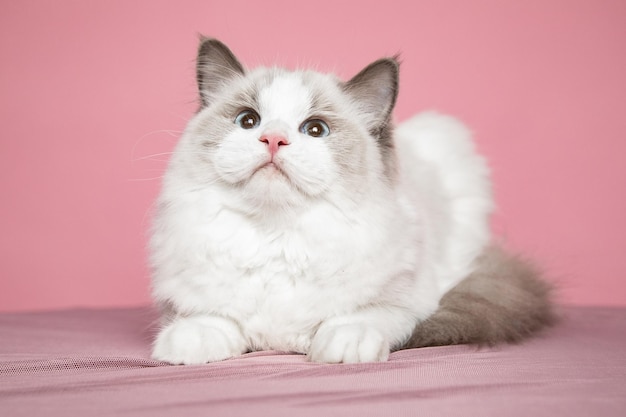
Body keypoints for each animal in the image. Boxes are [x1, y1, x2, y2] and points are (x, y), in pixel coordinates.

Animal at [147, 39, 552, 364]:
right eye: (248, 121)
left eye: (315, 129)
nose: (273, 139)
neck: (277, 234)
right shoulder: (188, 299)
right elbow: (207, 320)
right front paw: (188, 345)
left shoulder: (408, 301)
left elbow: (358, 318)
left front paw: (341, 346)